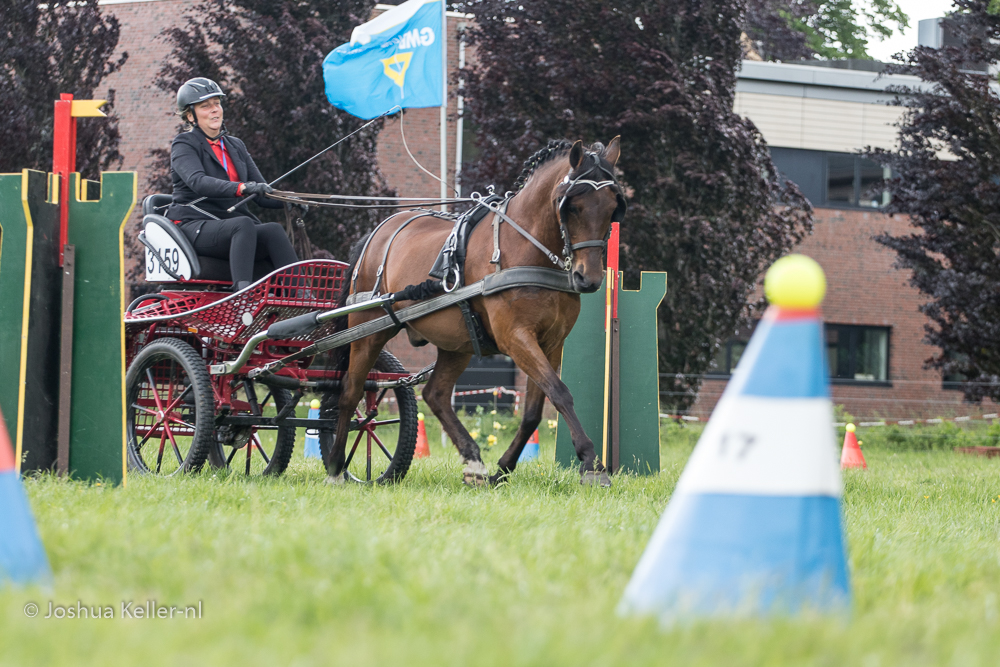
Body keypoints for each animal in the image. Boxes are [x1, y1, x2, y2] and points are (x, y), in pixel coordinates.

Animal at [328, 138, 624, 488]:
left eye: (611, 207)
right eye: (573, 207)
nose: (588, 278)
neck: (528, 248)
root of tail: (376, 234)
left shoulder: (551, 343)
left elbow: (535, 410)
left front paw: (503, 468)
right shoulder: (516, 338)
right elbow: (561, 393)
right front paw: (592, 463)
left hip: (456, 344)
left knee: (435, 394)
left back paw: (473, 460)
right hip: (368, 331)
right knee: (351, 392)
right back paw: (335, 465)